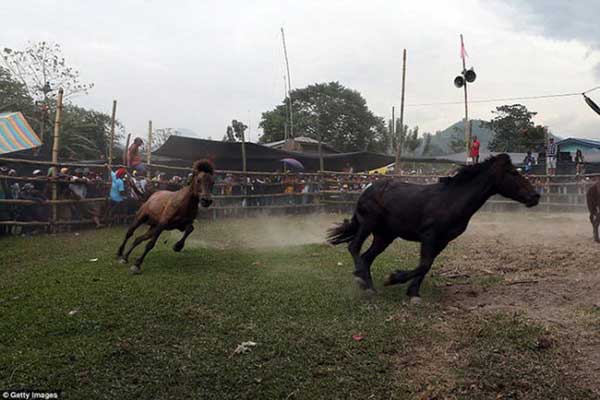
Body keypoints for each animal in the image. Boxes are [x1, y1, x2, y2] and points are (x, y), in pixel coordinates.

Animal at [328, 155, 540, 302]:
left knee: (366, 257)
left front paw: (413, 293)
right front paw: (393, 278)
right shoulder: (429, 235)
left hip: (385, 236)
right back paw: (361, 281)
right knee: (354, 248)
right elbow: (424, 264)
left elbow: (426, 265)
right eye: (513, 173)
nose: (535, 196)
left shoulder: (443, 241)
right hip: (368, 224)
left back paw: (369, 286)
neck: (452, 200)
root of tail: (367, 189)